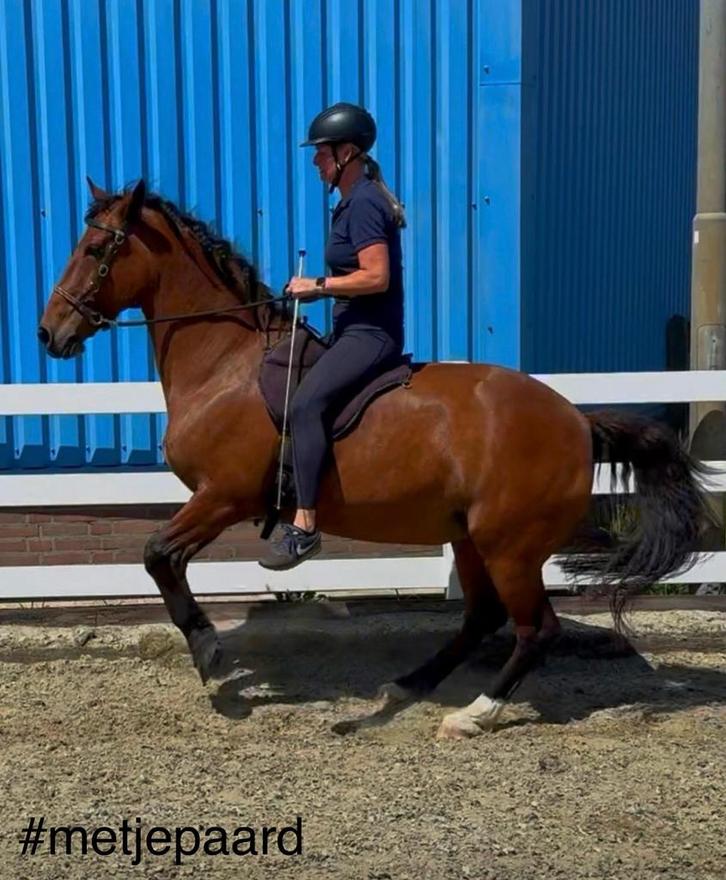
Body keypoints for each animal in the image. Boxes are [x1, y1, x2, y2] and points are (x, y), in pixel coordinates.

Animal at [38, 178, 711, 739]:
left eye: (96, 248)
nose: (49, 333)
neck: (226, 364)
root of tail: (576, 420)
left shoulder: (223, 495)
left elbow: (157, 555)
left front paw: (209, 653)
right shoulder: (215, 499)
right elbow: (163, 560)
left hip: (510, 546)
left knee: (533, 628)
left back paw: (475, 714)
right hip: (472, 537)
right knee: (481, 617)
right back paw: (409, 685)